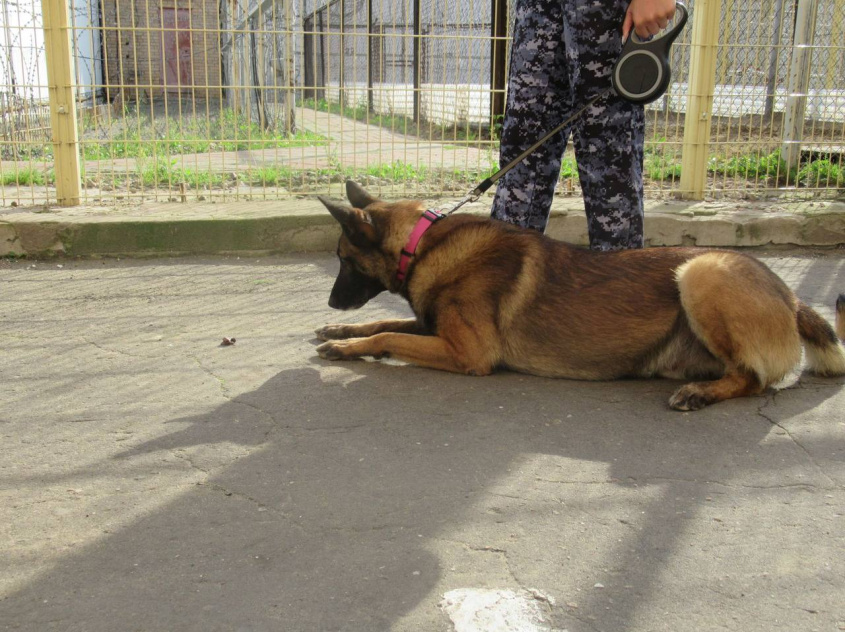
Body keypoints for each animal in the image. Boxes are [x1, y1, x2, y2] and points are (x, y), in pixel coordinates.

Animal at [314, 180, 844, 412]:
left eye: (342, 259)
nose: (332, 302)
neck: (421, 244)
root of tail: (793, 299)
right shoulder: (432, 326)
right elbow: (384, 323)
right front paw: (340, 329)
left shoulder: (468, 352)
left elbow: (388, 337)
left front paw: (344, 345)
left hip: (702, 271)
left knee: (753, 379)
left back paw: (701, 394)